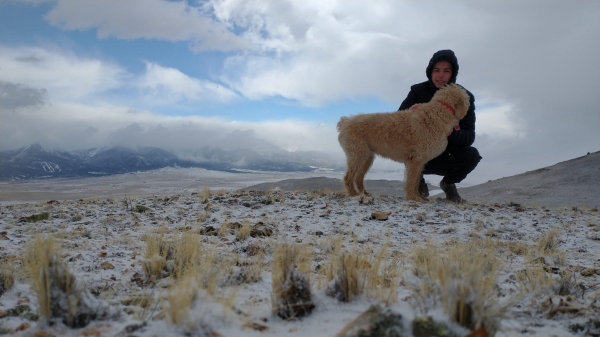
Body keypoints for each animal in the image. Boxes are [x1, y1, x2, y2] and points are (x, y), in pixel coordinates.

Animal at [338, 83, 468, 200]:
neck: (438, 113)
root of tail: (345, 121)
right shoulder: (415, 160)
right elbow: (411, 181)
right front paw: (412, 197)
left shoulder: (420, 162)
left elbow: (416, 181)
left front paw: (418, 196)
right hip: (357, 153)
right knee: (348, 177)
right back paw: (353, 193)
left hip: (367, 157)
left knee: (358, 178)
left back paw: (364, 193)